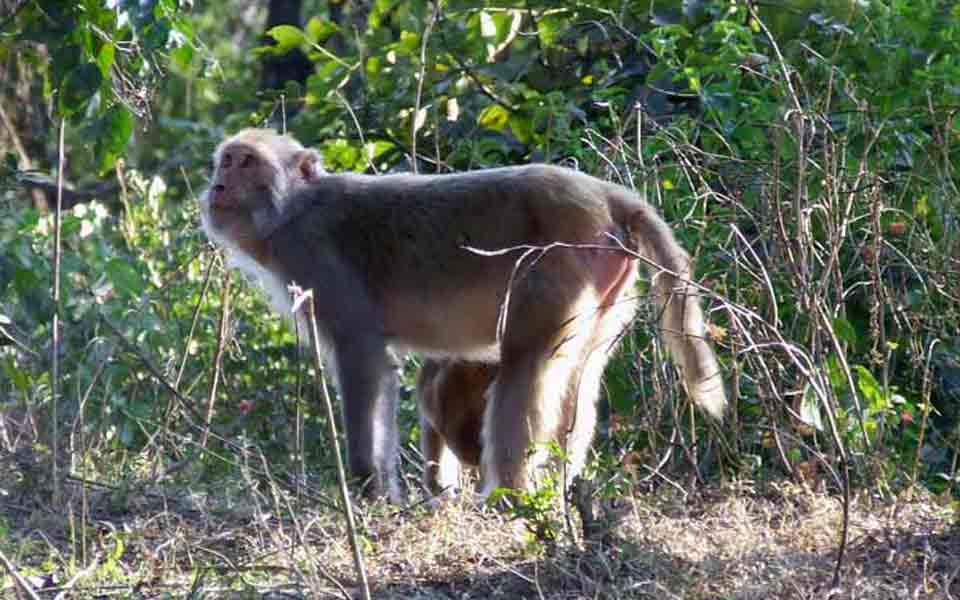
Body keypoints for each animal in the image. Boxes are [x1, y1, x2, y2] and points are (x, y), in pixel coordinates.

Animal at [202, 127, 728, 502]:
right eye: (225, 159)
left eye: (246, 161)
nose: (218, 185)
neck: (292, 210)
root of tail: (608, 196)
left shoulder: (311, 254)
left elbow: (363, 357)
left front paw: (370, 490)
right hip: (609, 287)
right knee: (582, 371)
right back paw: (558, 488)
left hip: (557, 264)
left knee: (525, 364)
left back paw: (506, 495)